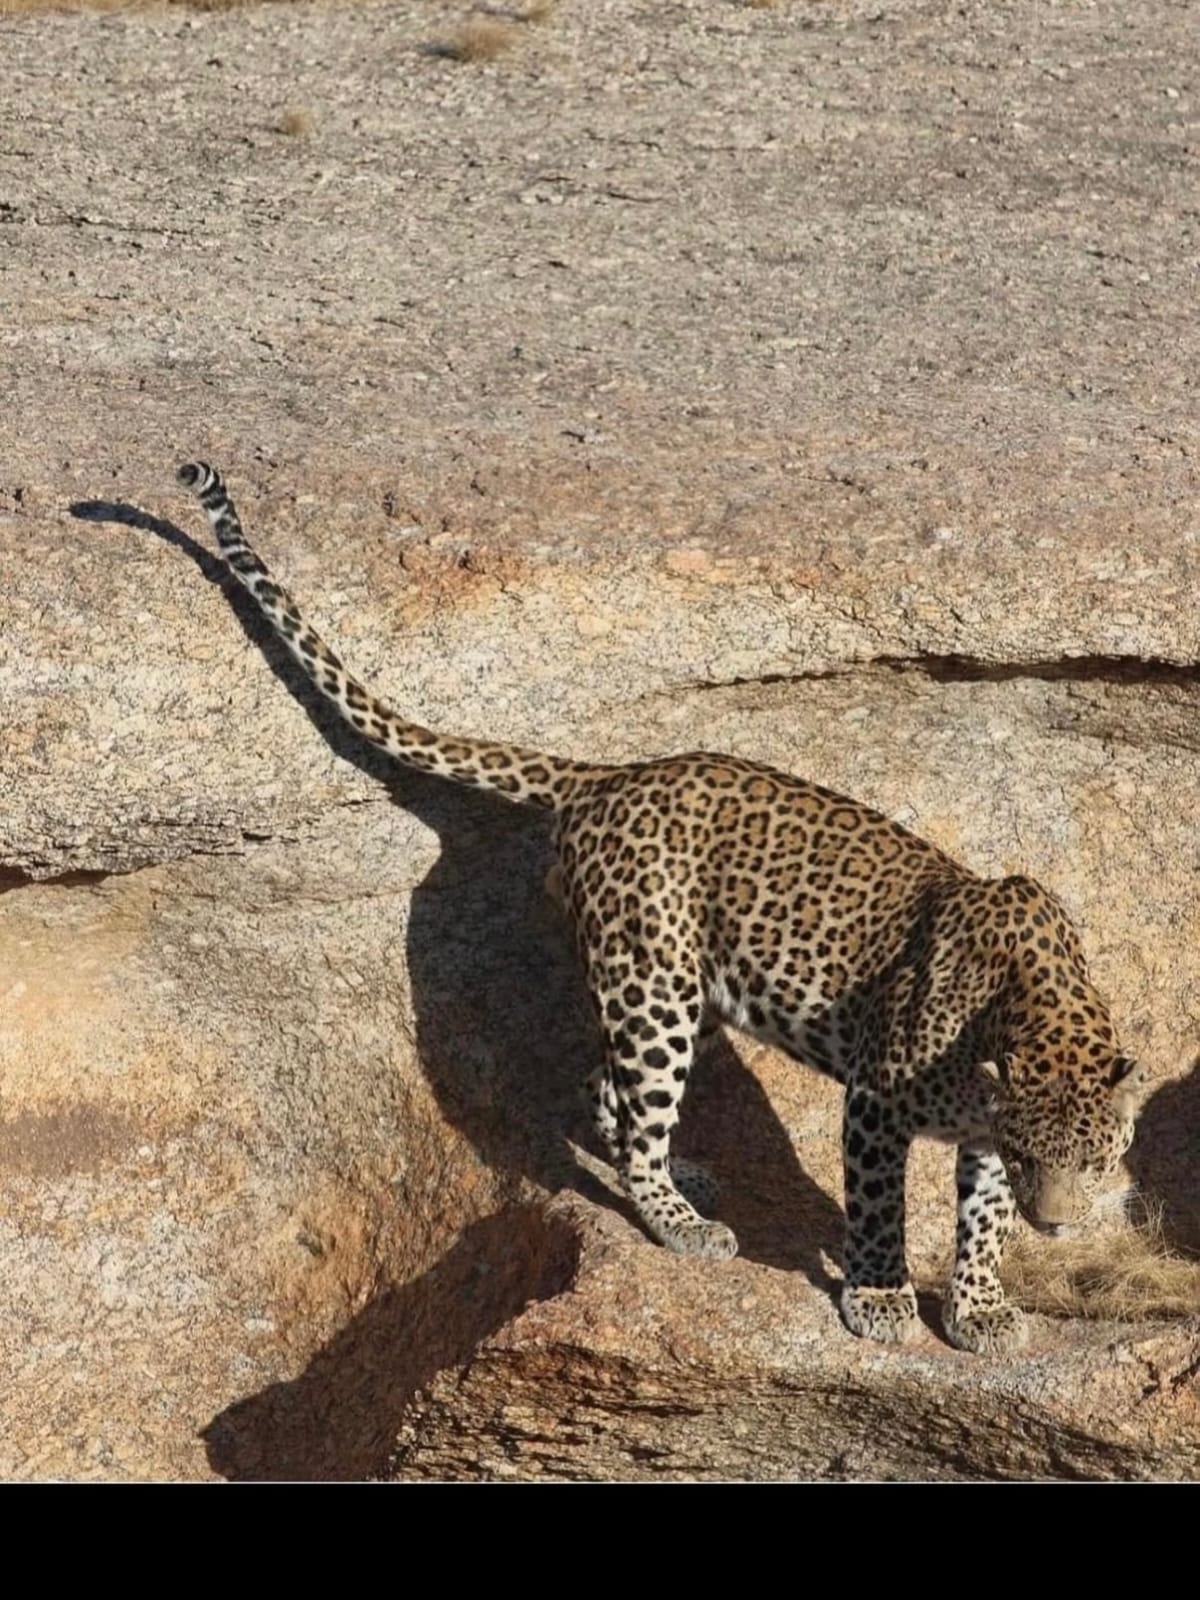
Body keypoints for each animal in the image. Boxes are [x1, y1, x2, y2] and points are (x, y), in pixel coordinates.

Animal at [175, 461, 1147, 1355]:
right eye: (1039, 1156)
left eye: (1095, 1158)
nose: (1061, 1223)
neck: (1026, 1009)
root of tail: (607, 777)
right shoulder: (877, 1099)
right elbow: (880, 1206)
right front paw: (879, 1297)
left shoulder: (983, 1122)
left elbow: (984, 1219)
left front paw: (981, 1307)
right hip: (653, 986)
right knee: (635, 1105)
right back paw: (677, 1217)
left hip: (688, 988)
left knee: (607, 1088)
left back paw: (683, 1174)